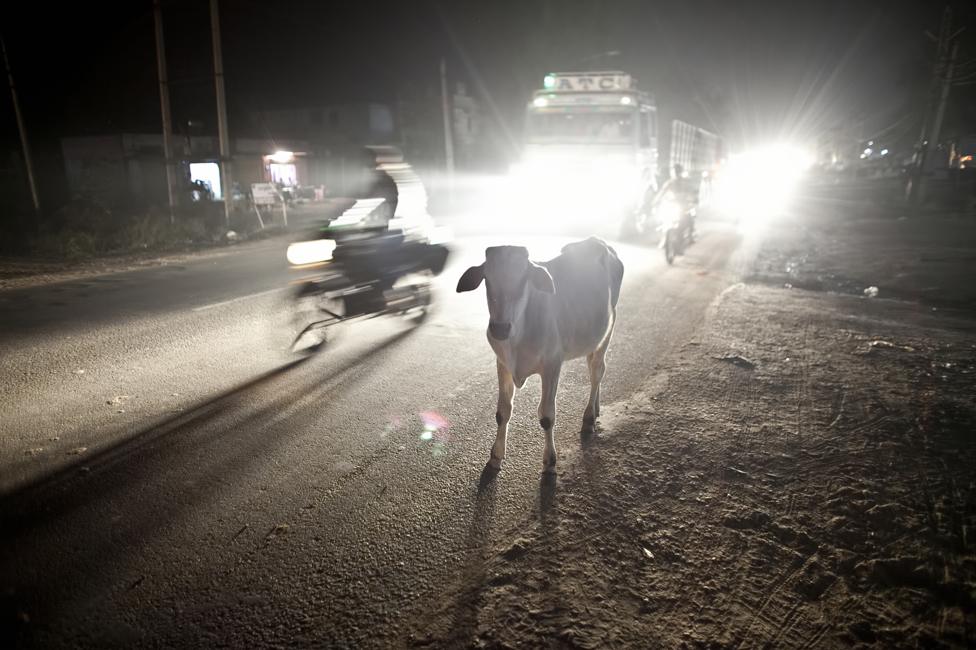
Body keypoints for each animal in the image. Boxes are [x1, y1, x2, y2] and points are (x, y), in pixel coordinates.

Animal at [458, 237, 624, 470]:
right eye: (487, 280)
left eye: (523, 280)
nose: (500, 328)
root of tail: (598, 242)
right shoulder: (503, 364)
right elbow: (502, 412)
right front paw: (496, 455)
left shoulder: (553, 365)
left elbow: (546, 416)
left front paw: (550, 459)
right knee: (595, 369)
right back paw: (596, 408)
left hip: (609, 328)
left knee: (597, 371)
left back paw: (589, 417)